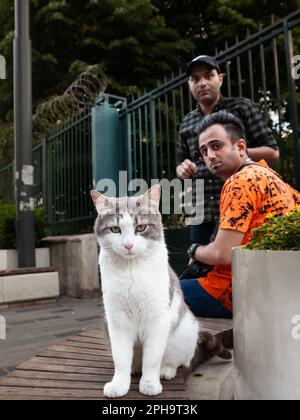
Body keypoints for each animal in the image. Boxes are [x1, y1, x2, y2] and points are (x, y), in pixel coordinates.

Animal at [91, 186, 230, 398]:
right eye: (115, 229)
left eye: (141, 227)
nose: (128, 245)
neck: (131, 269)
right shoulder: (117, 321)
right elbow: (121, 358)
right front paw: (119, 384)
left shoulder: (156, 319)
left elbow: (152, 358)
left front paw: (149, 383)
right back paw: (134, 369)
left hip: (185, 332)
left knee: (176, 360)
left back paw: (166, 371)